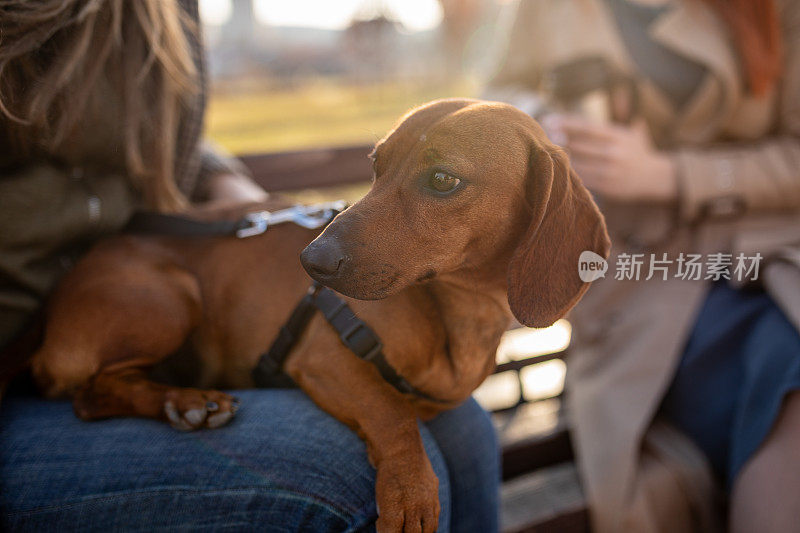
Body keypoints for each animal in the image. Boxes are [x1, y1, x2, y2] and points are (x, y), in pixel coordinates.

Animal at [28, 98, 608, 532]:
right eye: (375, 167)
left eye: (443, 179)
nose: (311, 261)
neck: (458, 311)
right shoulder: (324, 357)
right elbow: (391, 413)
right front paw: (411, 490)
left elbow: (404, 409)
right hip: (171, 300)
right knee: (88, 395)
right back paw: (186, 401)